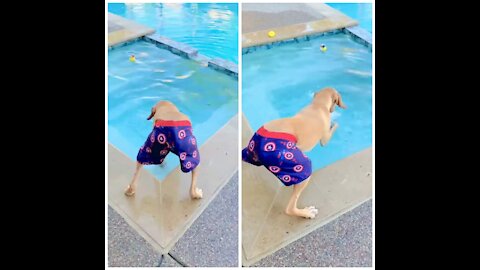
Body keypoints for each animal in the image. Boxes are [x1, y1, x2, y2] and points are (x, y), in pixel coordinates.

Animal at [244, 87, 344, 218]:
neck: (318, 105)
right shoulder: (325, 139)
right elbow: (331, 130)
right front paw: (336, 123)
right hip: (295, 165)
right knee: (290, 208)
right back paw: (306, 212)